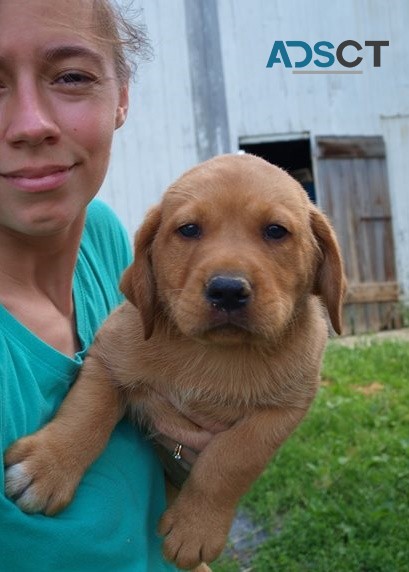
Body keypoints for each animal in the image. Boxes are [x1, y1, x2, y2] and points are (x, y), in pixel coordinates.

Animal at [4, 154, 346, 568]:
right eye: (189, 230)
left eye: (276, 231)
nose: (227, 290)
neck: (214, 353)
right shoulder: (107, 361)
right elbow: (86, 413)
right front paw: (47, 467)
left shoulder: (282, 412)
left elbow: (230, 460)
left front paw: (195, 528)